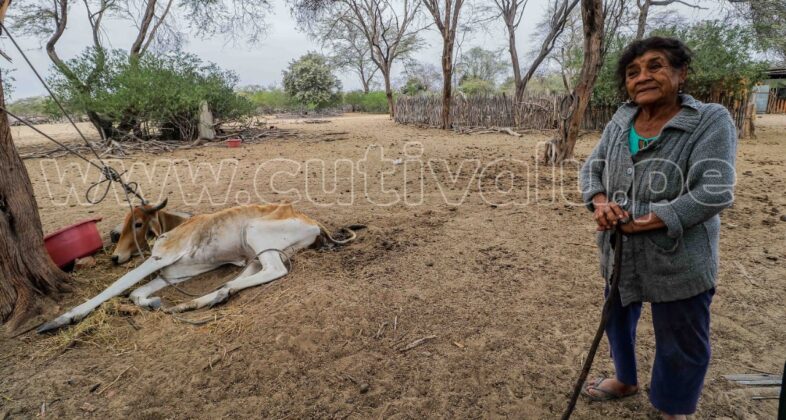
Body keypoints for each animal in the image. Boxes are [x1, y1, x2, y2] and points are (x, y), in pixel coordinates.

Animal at [38, 202, 362, 334]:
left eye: (138, 223)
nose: (116, 257)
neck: (177, 225)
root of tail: (314, 222)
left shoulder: (160, 259)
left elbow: (119, 286)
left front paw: (63, 318)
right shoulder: (174, 273)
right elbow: (136, 293)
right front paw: (153, 302)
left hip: (257, 236)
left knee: (275, 270)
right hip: (252, 255)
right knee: (243, 277)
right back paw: (197, 302)